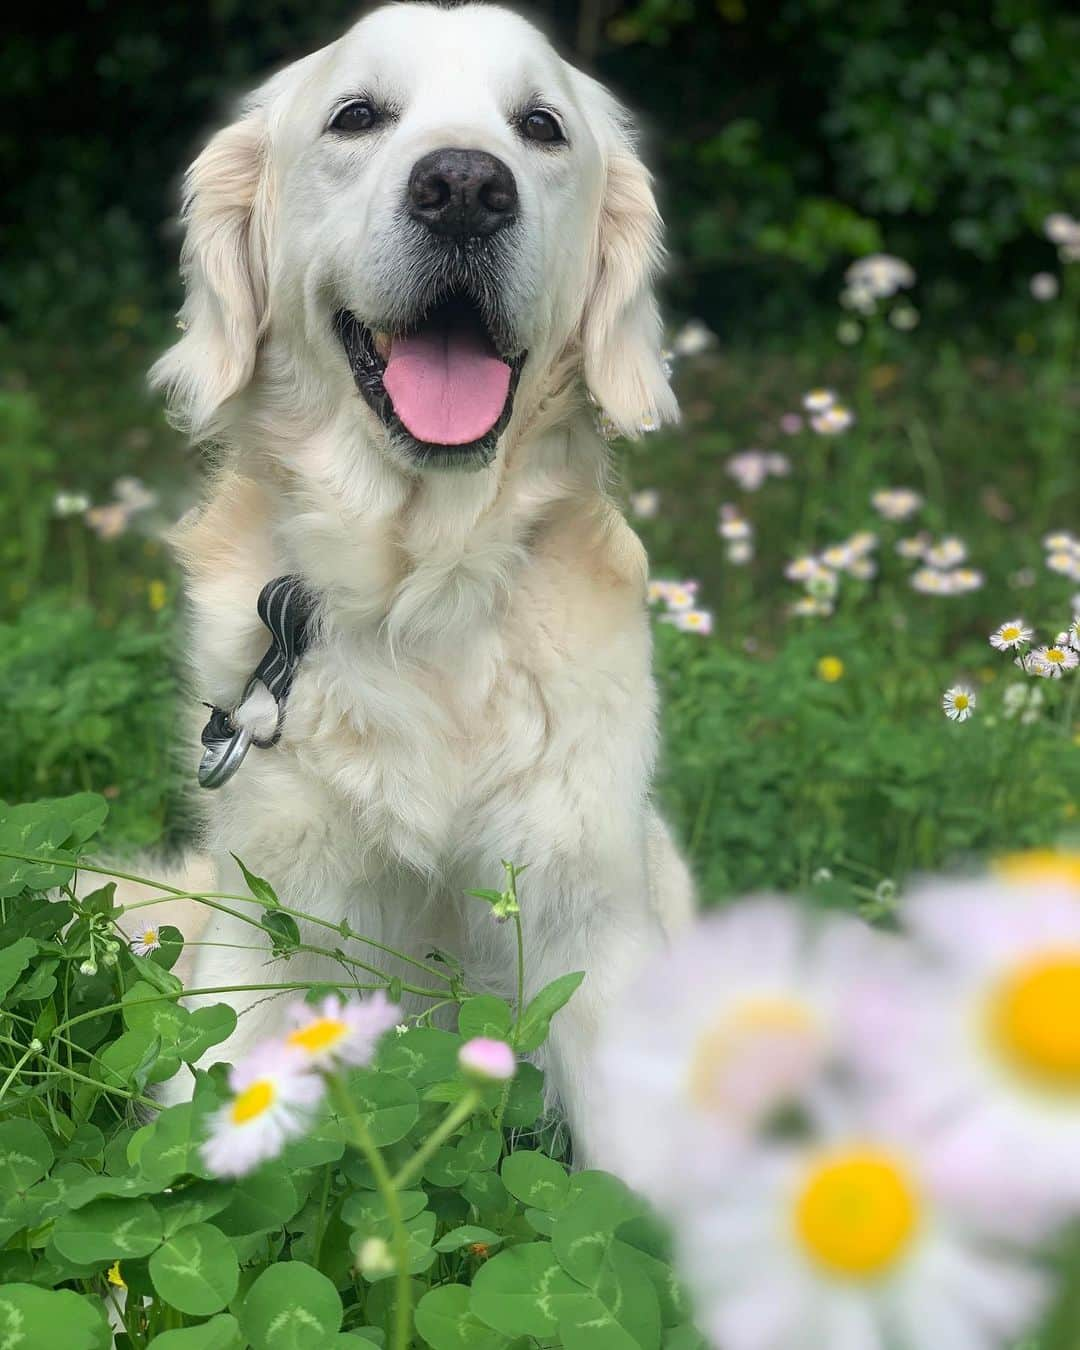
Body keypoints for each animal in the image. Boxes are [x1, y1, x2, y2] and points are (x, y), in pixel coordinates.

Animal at [149, 0, 691, 1161]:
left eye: (540, 127)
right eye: (358, 116)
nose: (465, 188)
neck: (422, 584)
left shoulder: (589, 922)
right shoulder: (266, 931)